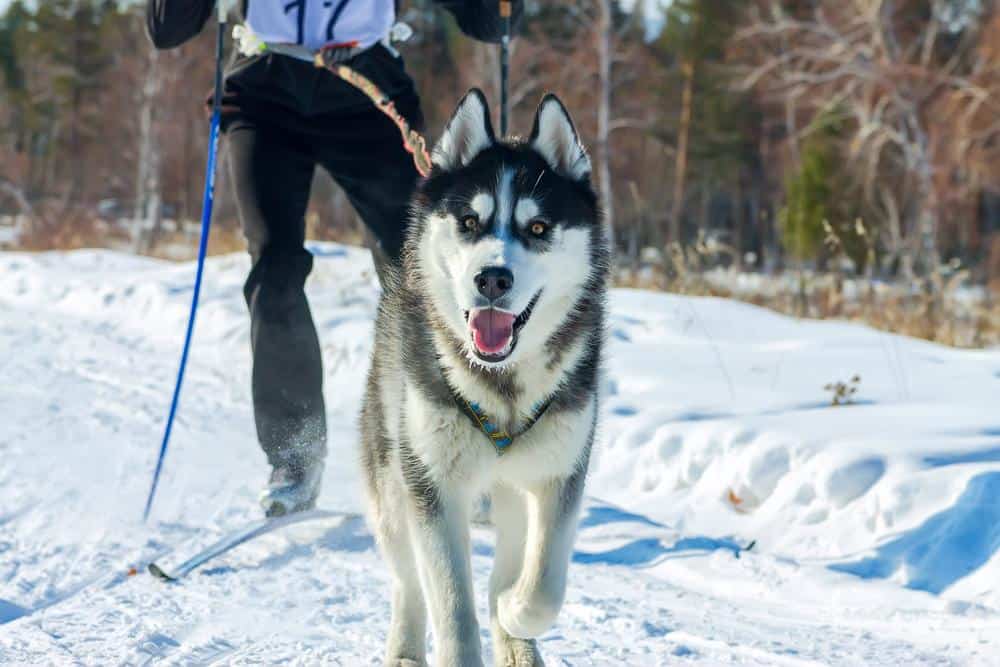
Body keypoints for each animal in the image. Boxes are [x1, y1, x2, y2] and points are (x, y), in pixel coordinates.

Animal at [360, 90, 608, 667]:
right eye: (470, 222)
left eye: (537, 229)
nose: (492, 278)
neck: (502, 387)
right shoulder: (431, 484)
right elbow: (451, 605)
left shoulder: (559, 473)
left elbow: (543, 584)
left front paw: (516, 612)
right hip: (391, 479)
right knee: (407, 579)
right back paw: (405, 647)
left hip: (513, 486)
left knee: (510, 561)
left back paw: (515, 640)